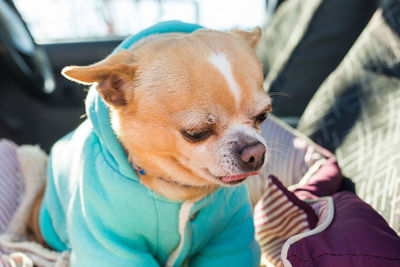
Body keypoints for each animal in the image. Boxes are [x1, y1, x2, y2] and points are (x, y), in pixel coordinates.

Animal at [28, 21, 272, 267]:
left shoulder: (230, 238)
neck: (178, 189)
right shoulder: (112, 246)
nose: (255, 152)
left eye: (262, 116)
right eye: (196, 133)